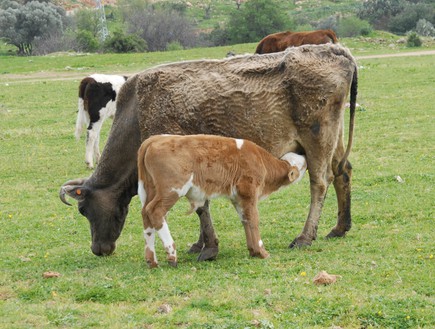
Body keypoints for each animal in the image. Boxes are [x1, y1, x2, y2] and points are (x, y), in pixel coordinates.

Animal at [136, 133, 306, 266]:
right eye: (302, 165)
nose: (304, 154)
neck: (262, 162)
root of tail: (154, 139)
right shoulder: (249, 192)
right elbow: (254, 220)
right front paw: (262, 252)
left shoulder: (238, 198)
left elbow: (245, 220)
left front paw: (253, 251)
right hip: (172, 189)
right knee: (155, 211)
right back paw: (172, 255)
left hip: (149, 190)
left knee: (145, 215)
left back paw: (152, 261)